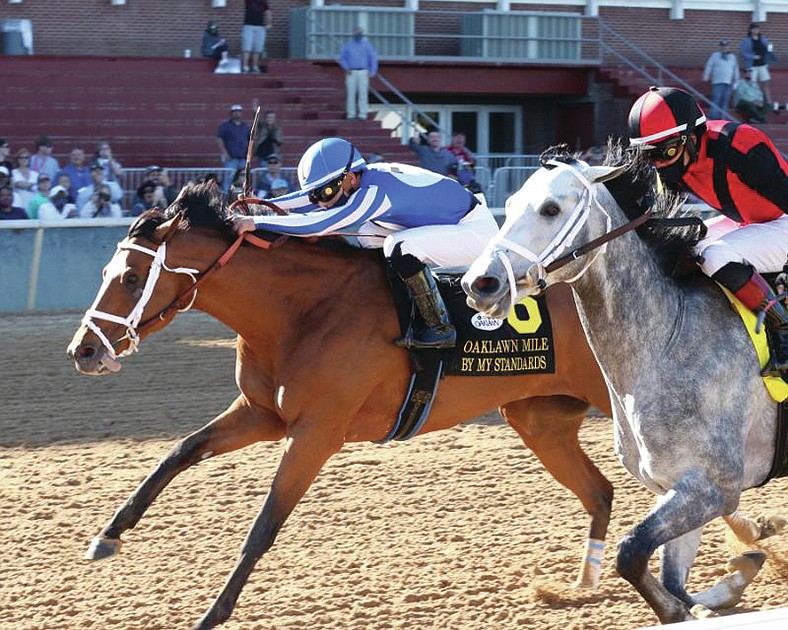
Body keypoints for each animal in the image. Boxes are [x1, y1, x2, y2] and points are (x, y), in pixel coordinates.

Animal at [66, 180, 768, 628]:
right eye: (106, 272)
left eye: (132, 276)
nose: (83, 351)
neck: (300, 312)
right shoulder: (264, 415)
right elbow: (178, 453)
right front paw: (106, 536)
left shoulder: (316, 432)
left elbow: (263, 527)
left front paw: (212, 614)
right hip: (538, 417)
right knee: (604, 491)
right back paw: (594, 583)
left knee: (698, 481)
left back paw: (748, 554)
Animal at [462, 149, 788, 628]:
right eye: (515, 201)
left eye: (551, 208)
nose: (480, 283)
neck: (667, 337)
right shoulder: (676, 486)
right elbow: (670, 579)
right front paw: (722, 586)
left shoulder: (711, 487)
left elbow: (630, 553)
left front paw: (702, 597)